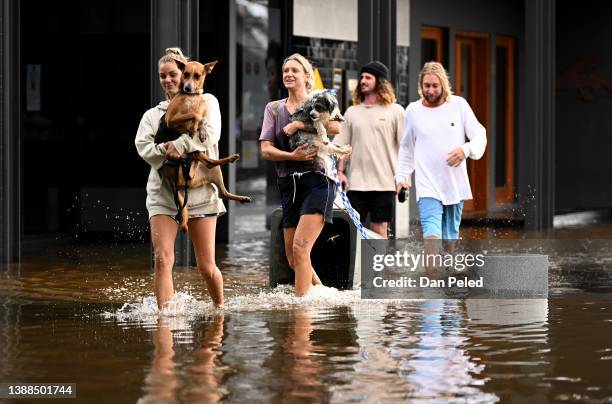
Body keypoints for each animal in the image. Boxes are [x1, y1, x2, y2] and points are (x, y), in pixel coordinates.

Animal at [160, 59, 253, 230]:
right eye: (185, 74)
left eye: (197, 76)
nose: (187, 88)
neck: (192, 97)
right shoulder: (170, 119)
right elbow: (194, 114)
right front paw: (194, 126)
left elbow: (201, 117)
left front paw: (201, 130)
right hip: (196, 156)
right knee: (208, 161)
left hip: (214, 171)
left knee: (220, 185)